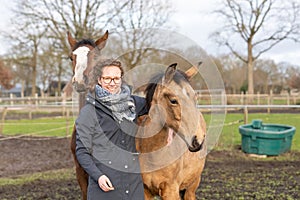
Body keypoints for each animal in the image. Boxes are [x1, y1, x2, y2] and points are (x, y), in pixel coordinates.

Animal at [137, 63, 207, 200]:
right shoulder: (145, 190)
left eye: (195, 98)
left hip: (192, 185)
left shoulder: (170, 190)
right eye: (173, 100)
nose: (198, 140)